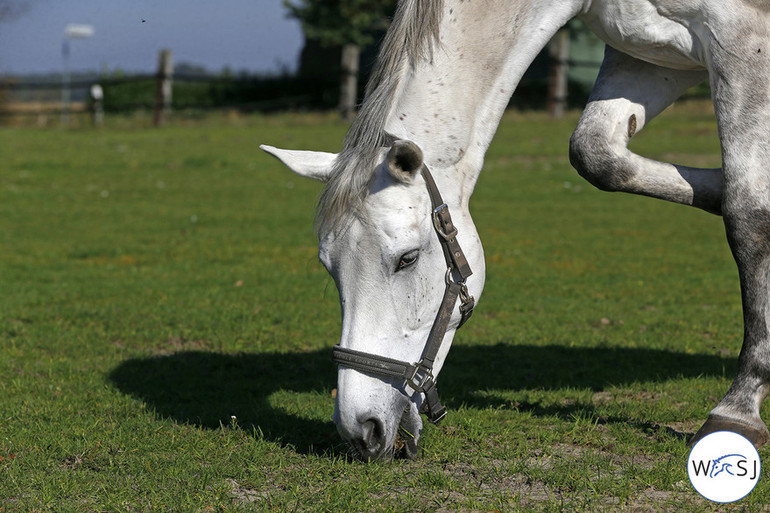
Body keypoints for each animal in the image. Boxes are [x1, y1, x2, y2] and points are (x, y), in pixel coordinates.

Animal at [260, 0, 768, 458]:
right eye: (329, 267)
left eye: (407, 259)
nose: (360, 430)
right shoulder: (646, 52)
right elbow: (596, 155)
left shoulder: (741, 38)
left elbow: (748, 213)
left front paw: (738, 408)